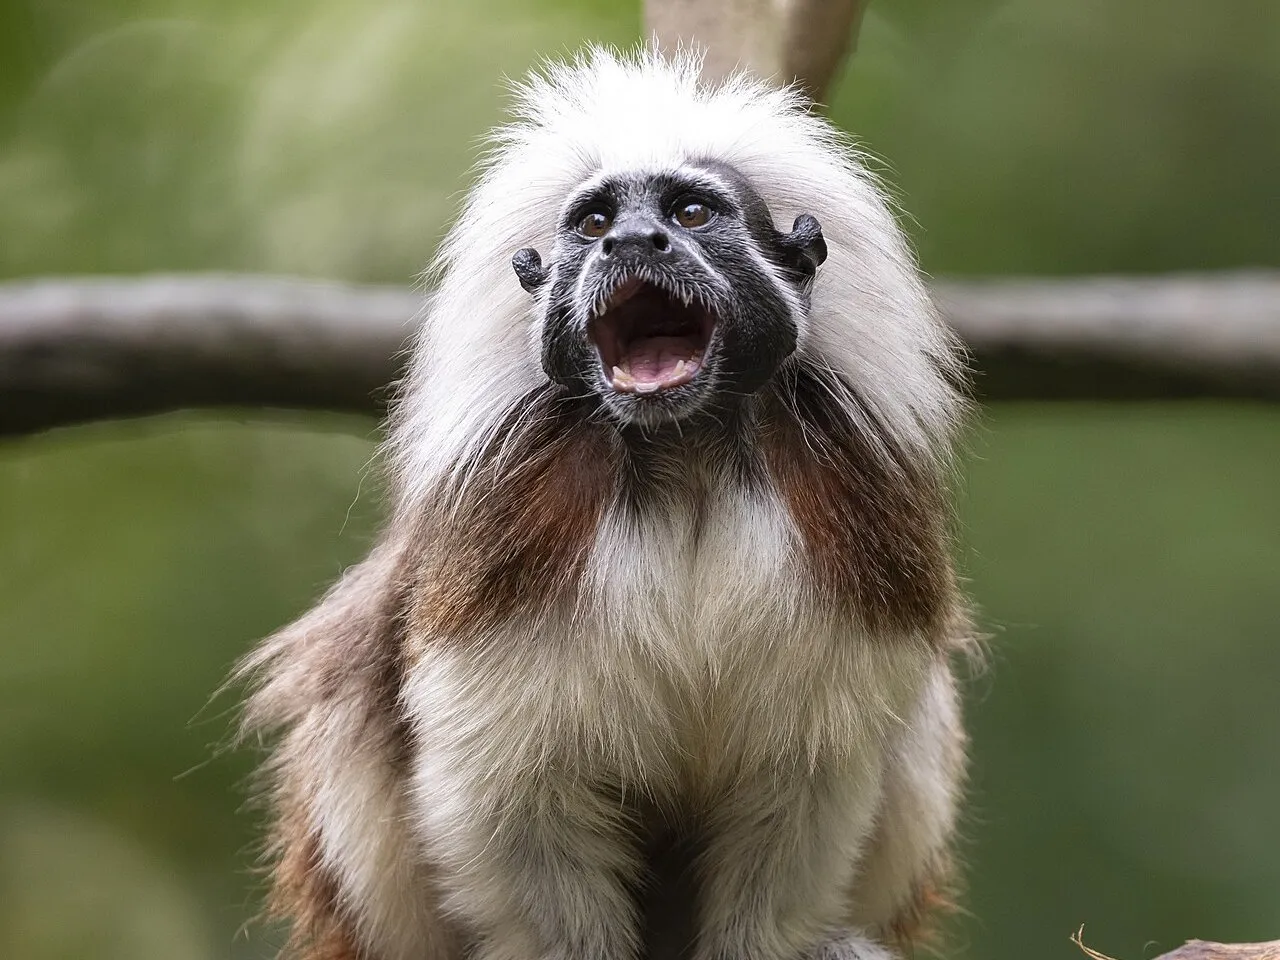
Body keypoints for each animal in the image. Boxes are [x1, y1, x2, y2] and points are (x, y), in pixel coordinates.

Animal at [237, 46, 972, 960]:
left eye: (690, 213)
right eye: (593, 225)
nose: (630, 241)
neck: (687, 458)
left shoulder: (848, 512)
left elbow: (806, 780)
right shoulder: (512, 535)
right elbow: (509, 789)